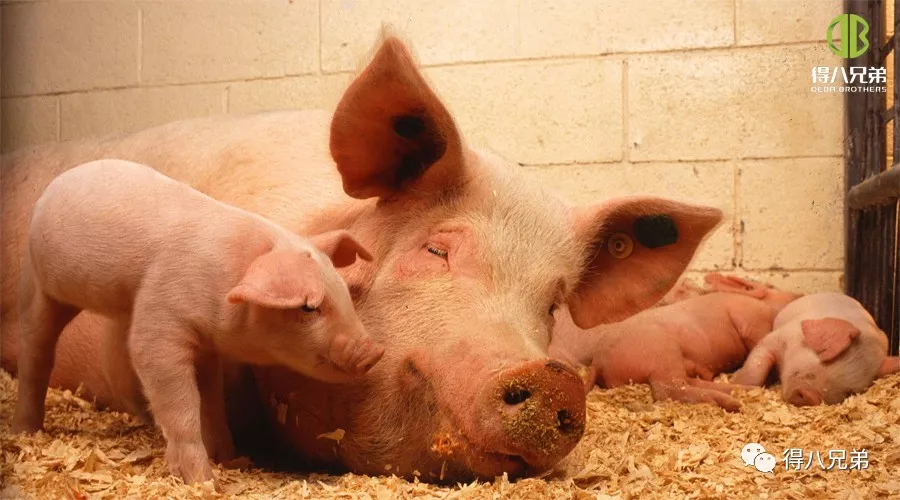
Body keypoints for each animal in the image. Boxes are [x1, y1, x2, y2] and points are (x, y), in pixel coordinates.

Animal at [11, 159, 382, 485]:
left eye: (343, 291)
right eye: (307, 307)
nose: (374, 351)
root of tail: (54, 185)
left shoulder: (206, 346)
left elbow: (212, 402)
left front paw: (231, 460)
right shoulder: (160, 319)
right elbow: (180, 400)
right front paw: (202, 480)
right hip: (39, 285)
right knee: (35, 350)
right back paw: (26, 430)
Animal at [549, 273, 803, 411]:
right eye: (773, 287)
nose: (799, 295)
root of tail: (598, 362)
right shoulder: (751, 317)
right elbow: (756, 338)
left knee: (685, 382)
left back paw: (736, 393)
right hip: (662, 350)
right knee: (668, 389)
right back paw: (731, 402)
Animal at [731, 292, 900, 406]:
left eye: (849, 392)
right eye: (827, 358)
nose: (810, 396)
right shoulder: (777, 337)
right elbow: (758, 365)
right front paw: (736, 383)